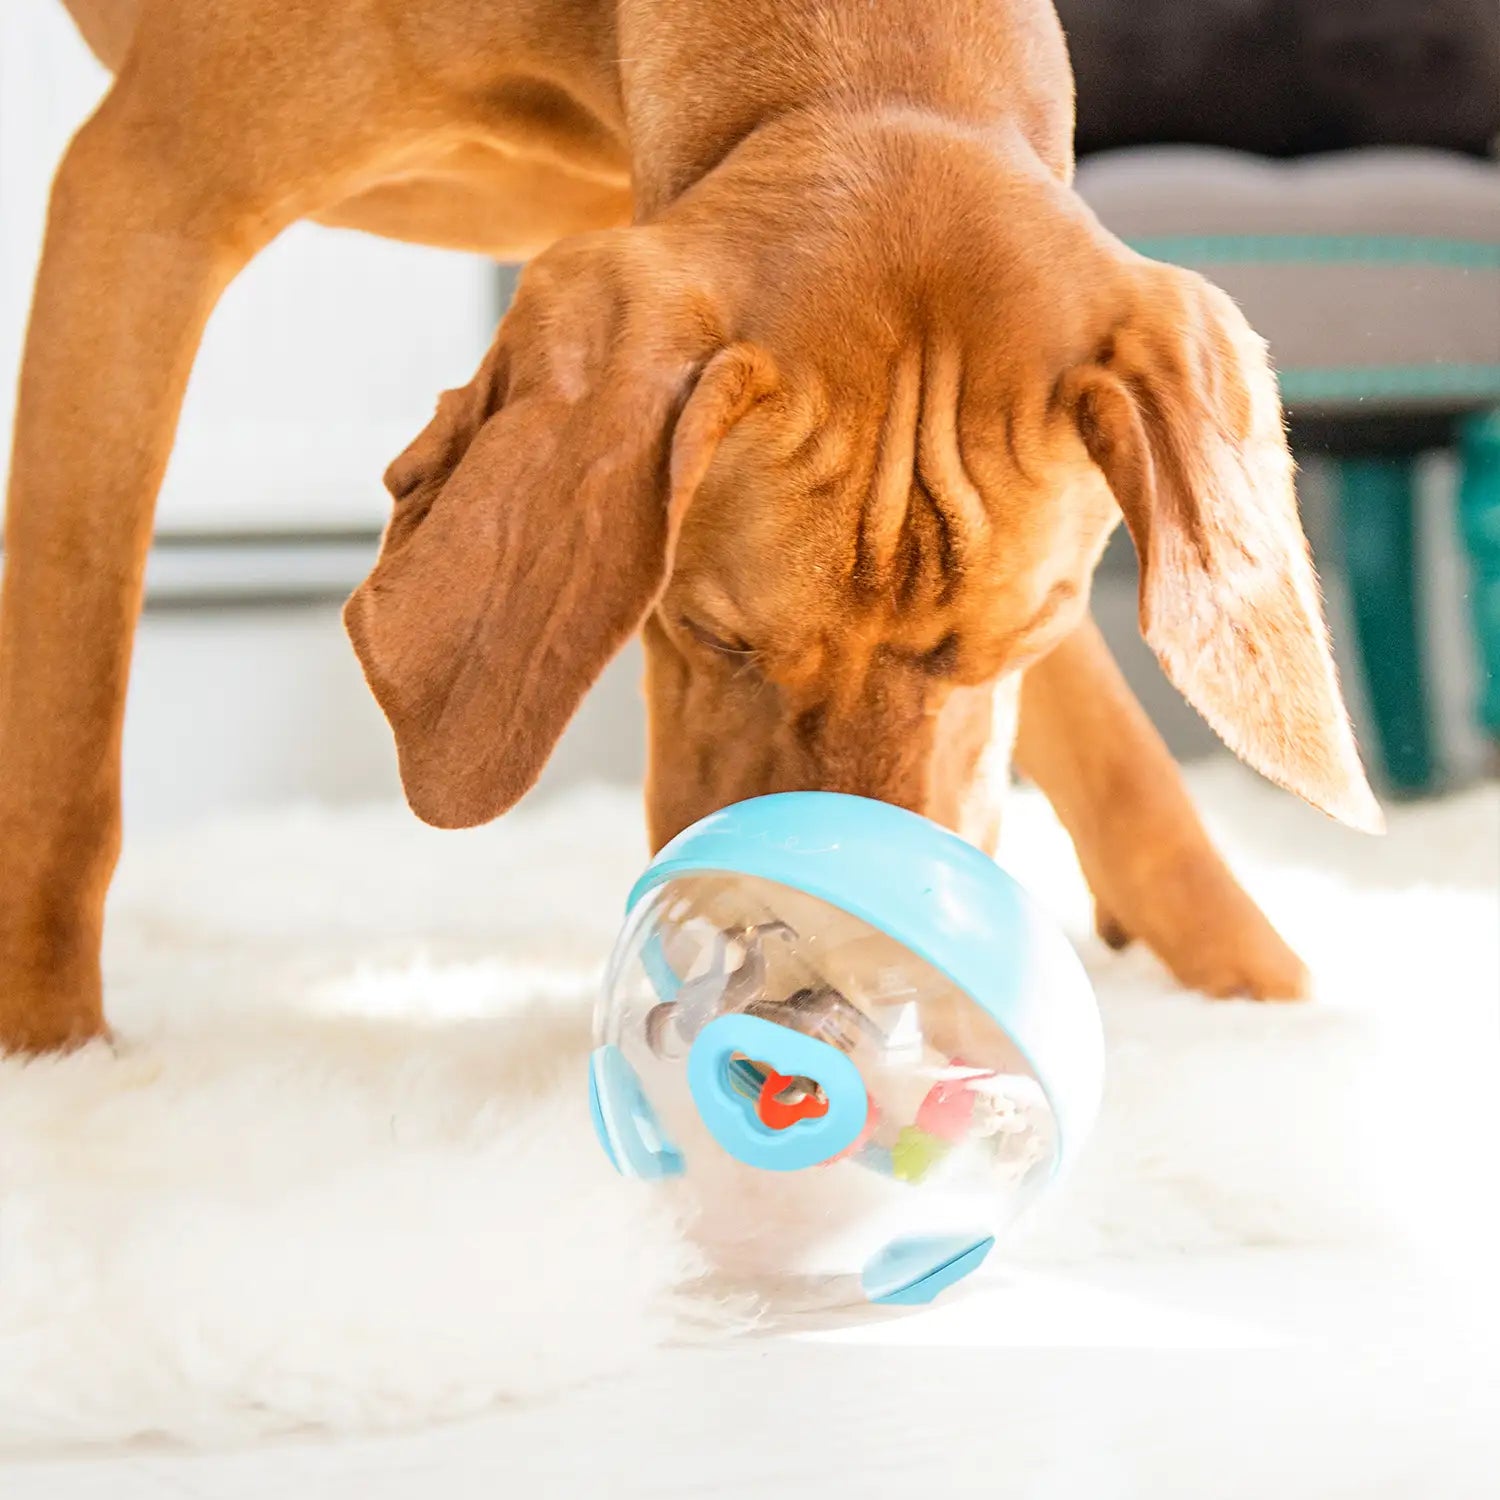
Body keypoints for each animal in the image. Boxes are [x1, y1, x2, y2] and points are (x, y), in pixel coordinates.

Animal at [0, 0, 1381, 1054]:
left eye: (1011, 649)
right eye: (715, 636)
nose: (825, 1014)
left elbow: (1110, 746)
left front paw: (1258, 987)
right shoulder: (144, 201)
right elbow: (65, 732)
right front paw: (56, 1060)